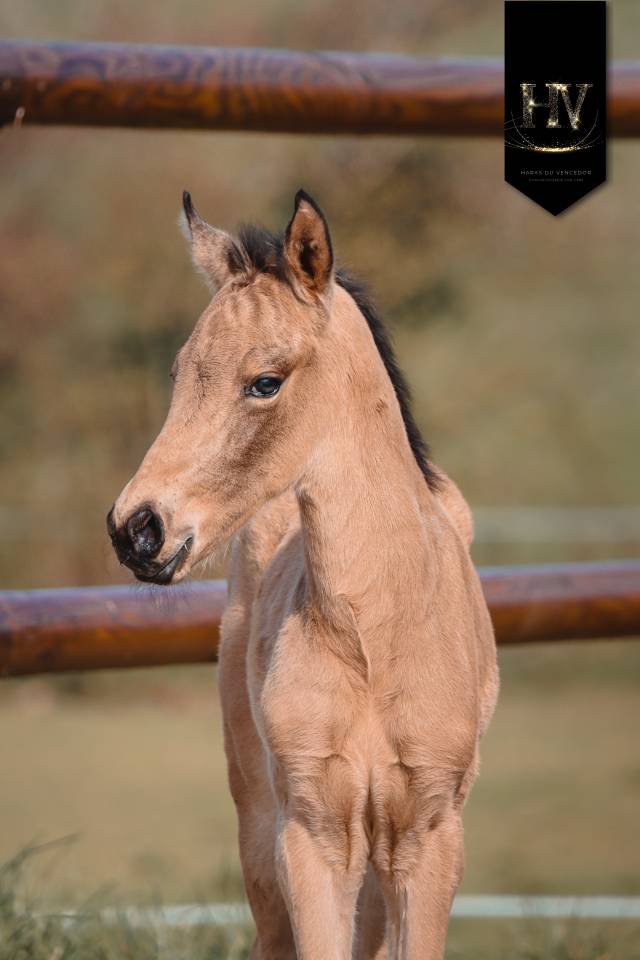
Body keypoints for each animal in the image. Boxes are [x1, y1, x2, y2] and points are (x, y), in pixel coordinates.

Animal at [107, 189, 498, 959]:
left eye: (266, 382)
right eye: (179, 373)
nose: (138, 530)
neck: (379, 633)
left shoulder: (430, 837)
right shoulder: (311, 835)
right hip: (261, 827)